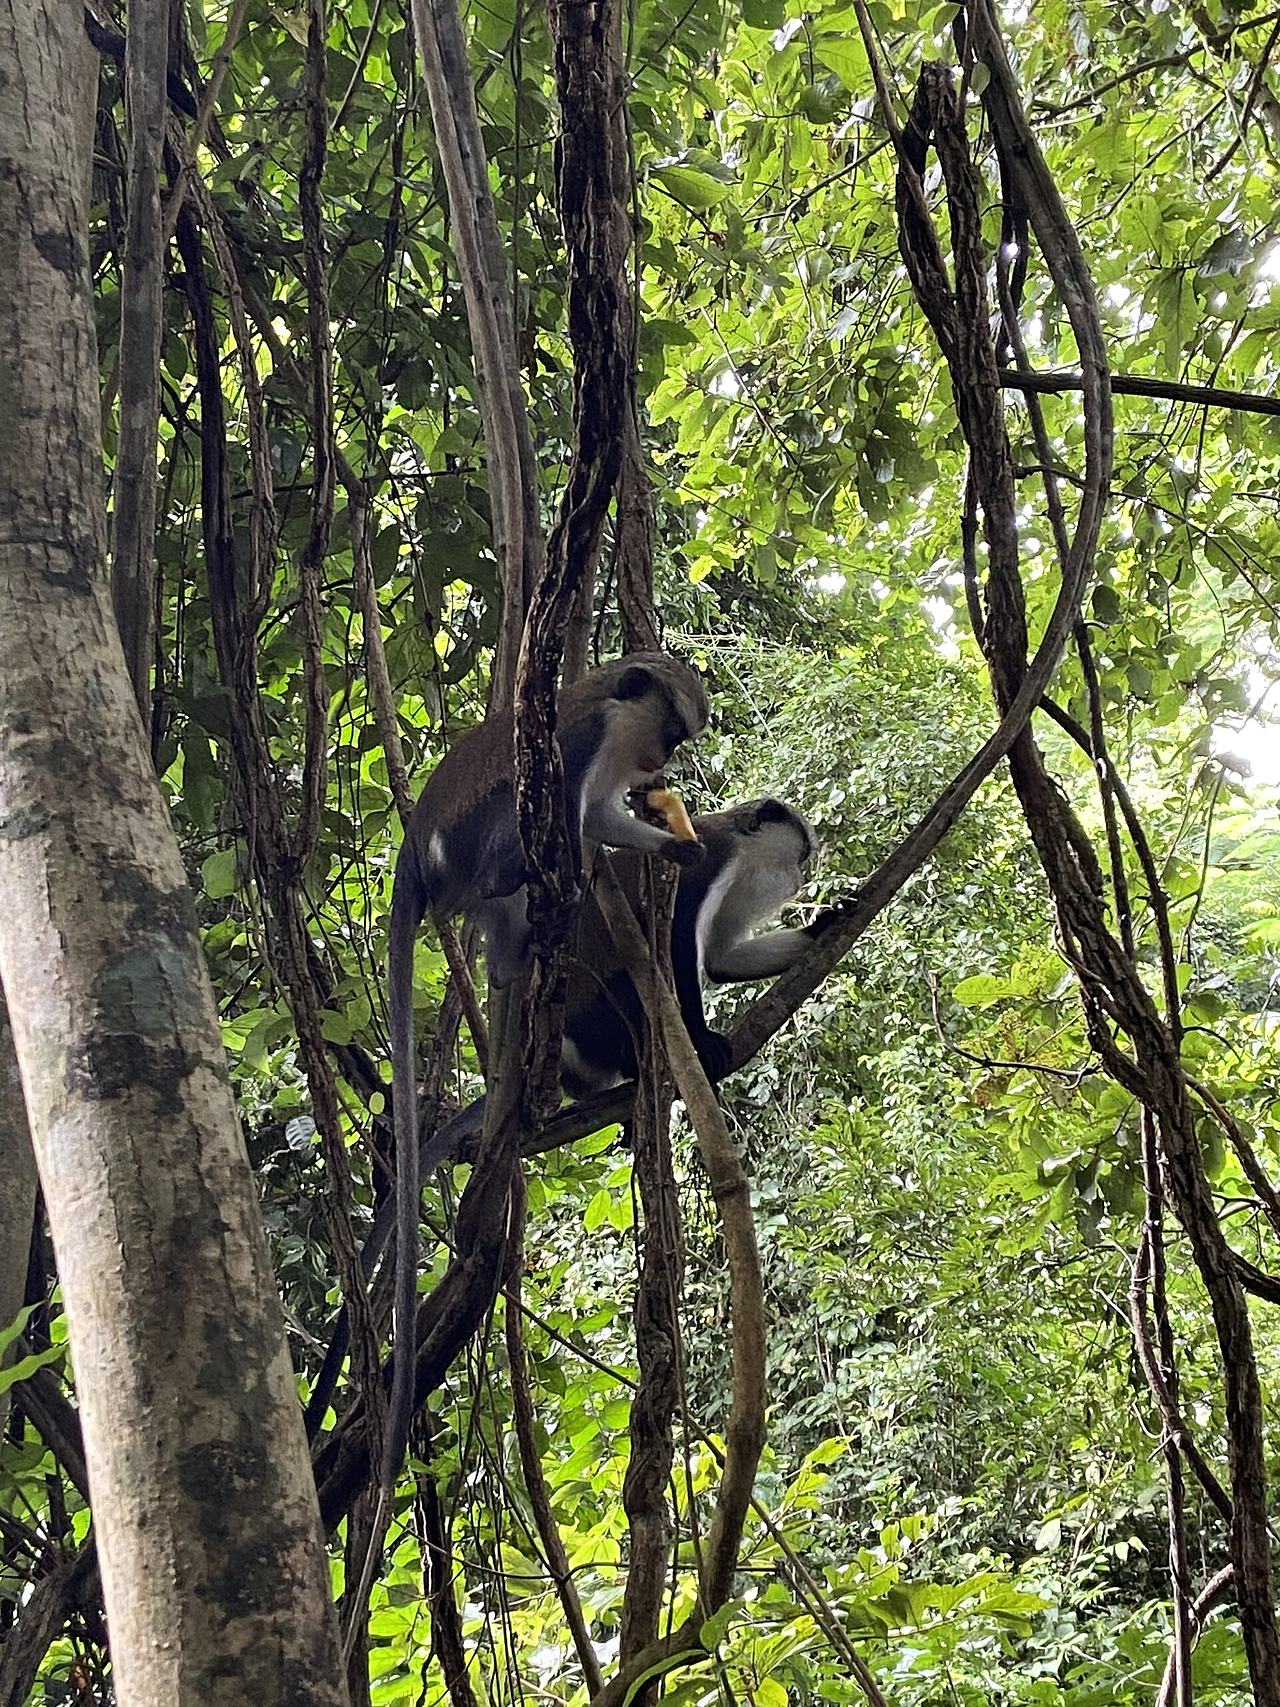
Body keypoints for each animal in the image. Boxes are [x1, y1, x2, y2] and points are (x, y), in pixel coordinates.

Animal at [380, 652, 709, 1493]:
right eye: (670, 731)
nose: (661, 766)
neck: (611, 709)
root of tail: (413, 851)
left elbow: (602, 820)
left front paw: (674, 842)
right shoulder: (581, 742)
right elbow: (577, 813)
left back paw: (520, 960)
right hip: (474, 847)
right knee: (531, 840)